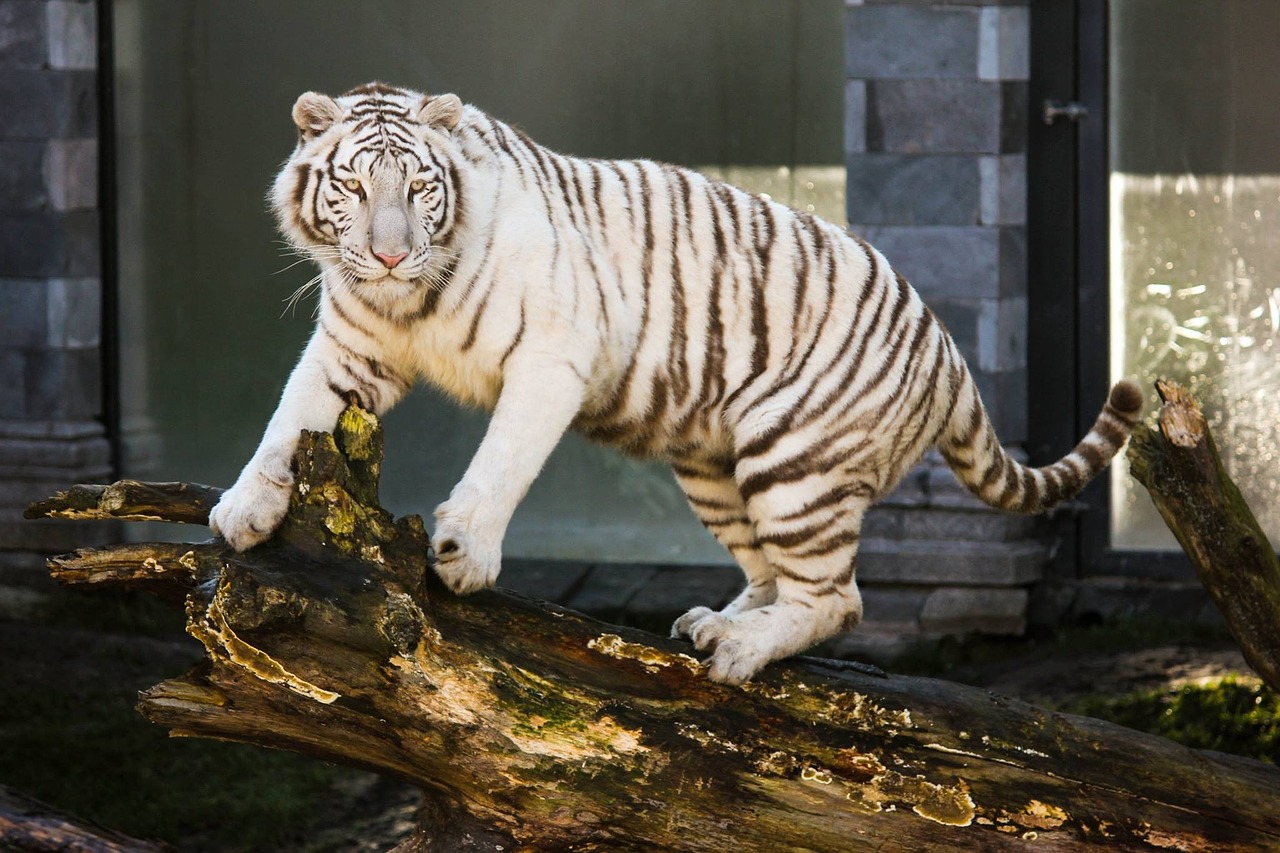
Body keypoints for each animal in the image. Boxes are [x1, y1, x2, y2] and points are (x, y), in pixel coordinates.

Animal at [207, 83, 1141, 681]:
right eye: (354, 185)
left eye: (421, 186)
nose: (393, 255)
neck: (409, 301)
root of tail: (951, 354)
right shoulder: (347, 350)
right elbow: (286, 424)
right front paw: (243, 509)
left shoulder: (552, 353)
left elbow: (501, 461)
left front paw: (464, 552)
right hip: (714, 468)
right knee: (775, 575)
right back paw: (719, 622)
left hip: (795, 459)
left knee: (837, 598)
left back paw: (740, 651)